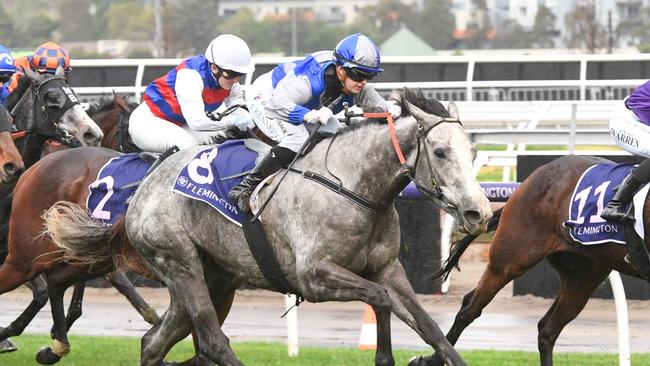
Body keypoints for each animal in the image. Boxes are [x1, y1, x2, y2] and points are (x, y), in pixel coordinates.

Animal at [46, 88, 492, 366]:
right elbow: (379, 300)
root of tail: (143, 188)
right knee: (213, 341)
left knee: (153, 342)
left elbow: (430, 327)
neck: (354, 186)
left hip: (213, 276)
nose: (479, 213)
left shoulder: (388, 269)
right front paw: (383, 356)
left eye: (472, 151)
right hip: (180, 264)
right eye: (440, 151)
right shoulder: (314, 276)